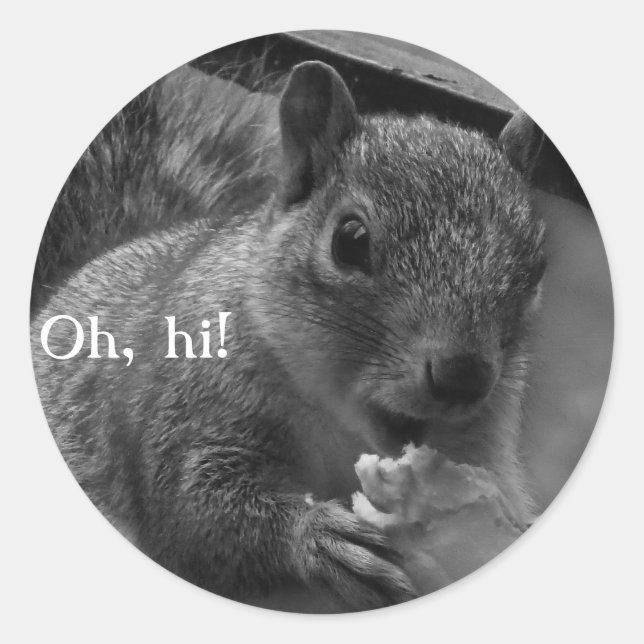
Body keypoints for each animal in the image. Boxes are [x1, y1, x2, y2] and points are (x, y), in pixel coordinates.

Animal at [31, 59, 546, 612]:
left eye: (537, 268)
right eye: (350, 240)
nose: (462, 376)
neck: (343, 430)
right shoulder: (188, 406)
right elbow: (195, 509)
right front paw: (315, 535)